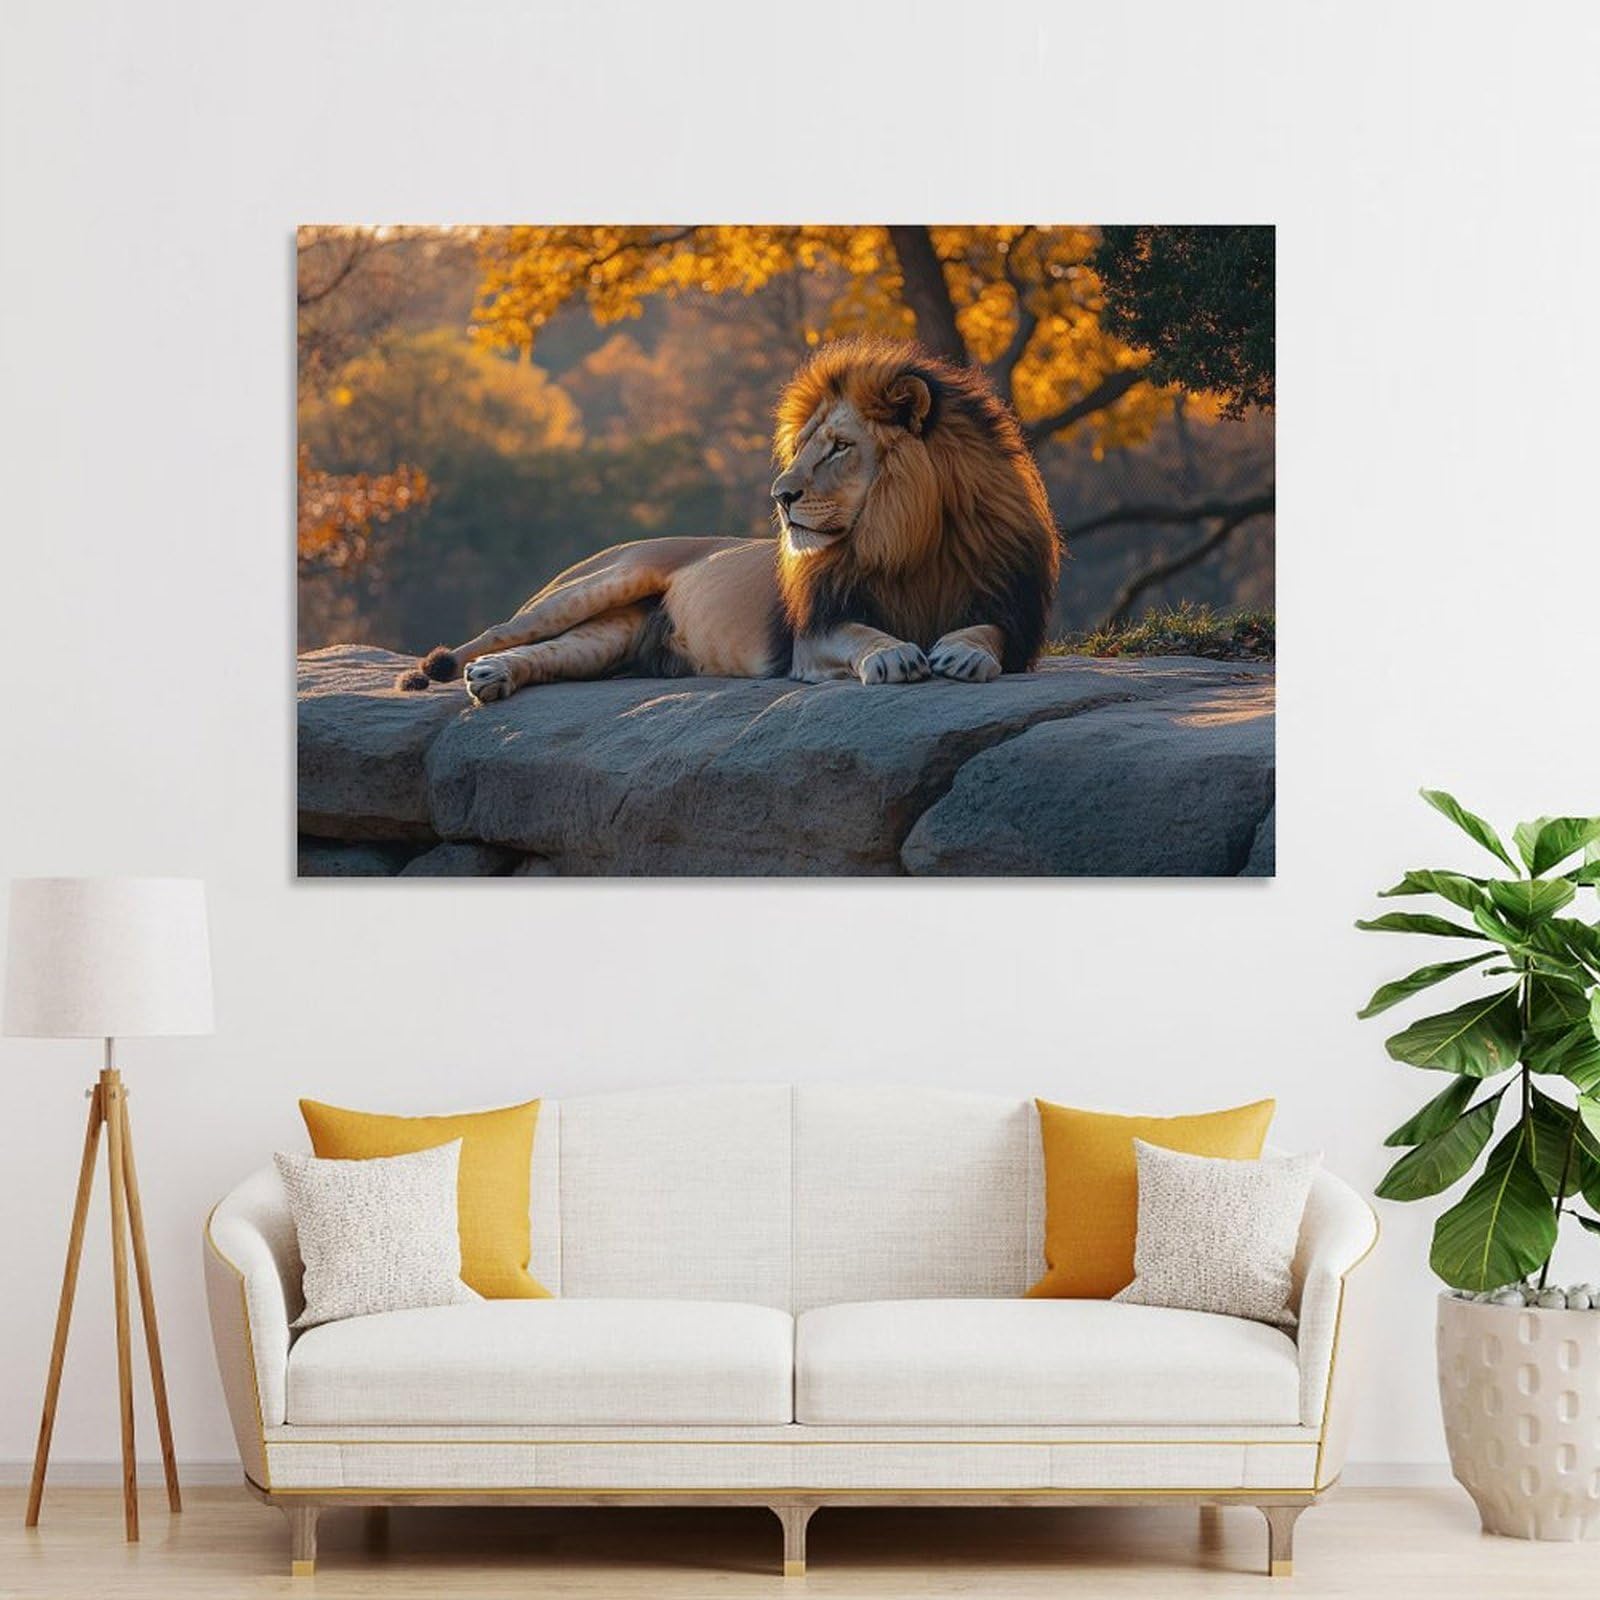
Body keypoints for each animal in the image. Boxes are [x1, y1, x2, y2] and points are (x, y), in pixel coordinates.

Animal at [397, 337, 1060, 702]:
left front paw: (965, 654)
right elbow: (859, 634)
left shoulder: (1012, 609)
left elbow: (988, 632)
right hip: (598, 583)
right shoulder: (813, 635)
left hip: (609, 639)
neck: (907, 540)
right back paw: (443, 672)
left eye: (840, 447)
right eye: (805, 446)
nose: (780, 495)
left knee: (548, 656)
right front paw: (893, 655)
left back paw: (493, 680)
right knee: (501, 633)